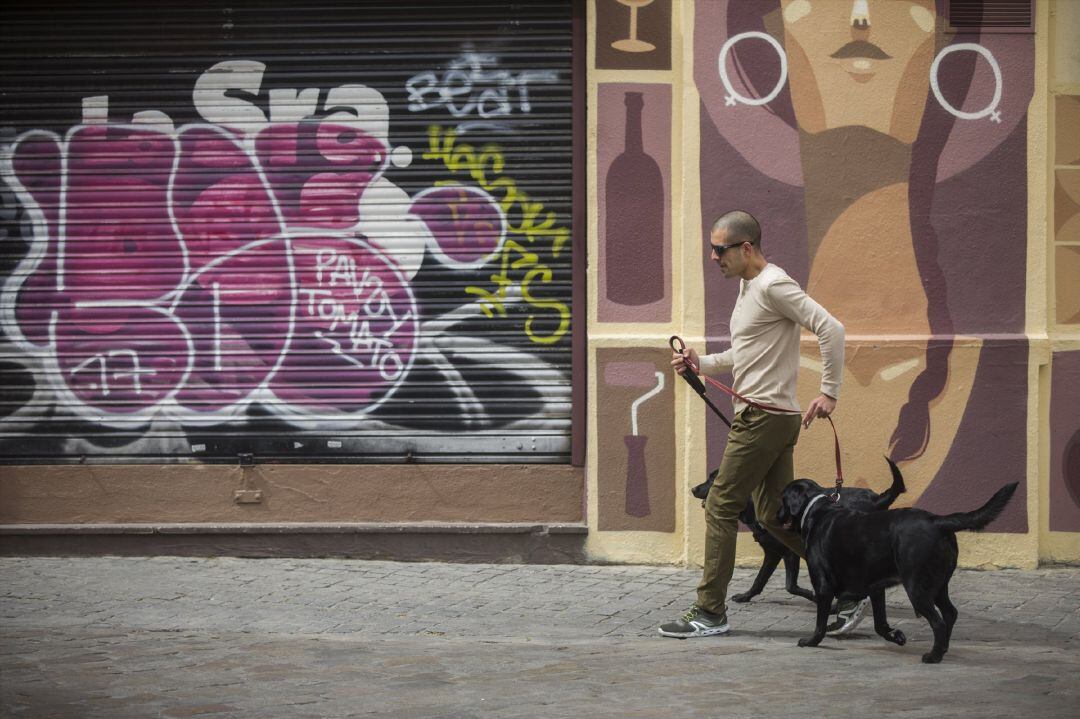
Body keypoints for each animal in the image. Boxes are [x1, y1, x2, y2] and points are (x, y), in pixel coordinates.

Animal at [691, 459, 902, 604]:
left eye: (713, 479)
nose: (693, 489)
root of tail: (877, 499)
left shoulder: (788, 552)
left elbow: (789, 586)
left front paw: (814, 596)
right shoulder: (774, 553)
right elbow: (760, 580)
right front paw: (746, 596)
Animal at [777, 472, 1019, 665]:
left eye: (782, 499)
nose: (775, 515)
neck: (817, 510)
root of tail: (937, 521)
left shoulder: (823, 586)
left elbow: (820, 623)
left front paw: (810, 641)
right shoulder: (876, 588)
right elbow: (880, 623)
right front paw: (896, 636)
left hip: (917, 587)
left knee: (939, 622)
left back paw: (933, 656)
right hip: (939, 585)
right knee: (950, 613)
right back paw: (943, 649)